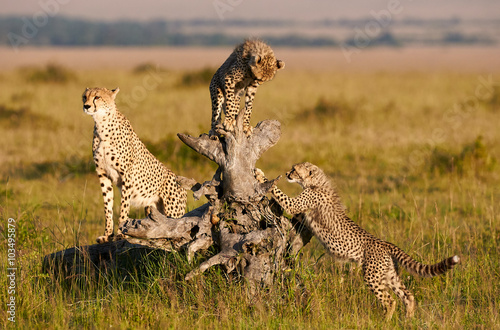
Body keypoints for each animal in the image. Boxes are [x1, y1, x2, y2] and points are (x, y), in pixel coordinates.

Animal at [83, 86, 187, 244]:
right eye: (85, 96)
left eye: (97, 97)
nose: (86, 106)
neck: (102, 123)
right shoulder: (103, 174)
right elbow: (108, 207)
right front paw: (107, 235)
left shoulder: (126, 175)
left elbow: (124, 207)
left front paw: (121, 233)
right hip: (151, 208)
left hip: (173, 210)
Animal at [256, 163, 458, 320]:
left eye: (294, 169)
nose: (287, 173)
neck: (316, 183)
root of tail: (385, 243)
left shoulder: (297, 204)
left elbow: (279, 193)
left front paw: (260, 175)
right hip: (389, 274)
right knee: (408, 295)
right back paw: (408, 320)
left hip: (372, 276)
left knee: (390, 300)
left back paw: (386, 321)